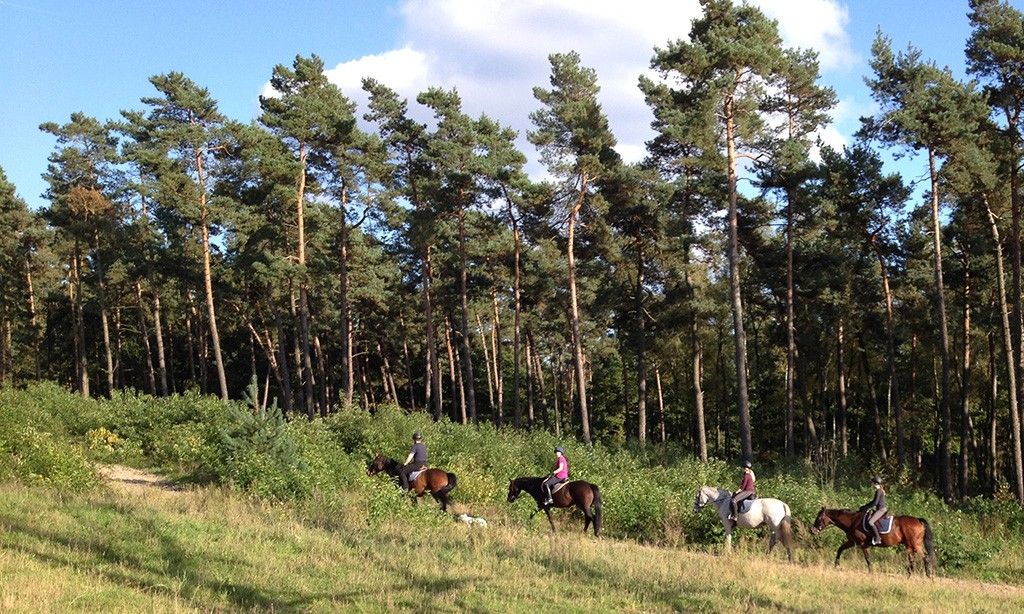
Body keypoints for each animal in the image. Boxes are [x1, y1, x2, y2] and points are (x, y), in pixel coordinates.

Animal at [806, 507, 937, 577]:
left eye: (819, 518)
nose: (812, 530)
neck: (852, 521)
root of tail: (918, 521)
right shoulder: (852, 541)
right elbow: (840, 549)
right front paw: (836, 565)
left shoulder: (862, 544)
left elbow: (867, 558)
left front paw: (870, 572)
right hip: (911, 545)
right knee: (913, 560)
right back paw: (911, 574)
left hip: (914, 545)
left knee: (925, 557)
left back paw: (927, 575)